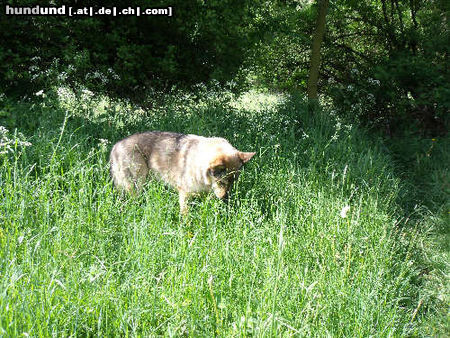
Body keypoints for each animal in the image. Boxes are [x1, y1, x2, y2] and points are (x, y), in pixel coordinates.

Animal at [109, 131, 255, 213]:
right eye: (222, 182)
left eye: (233, 183)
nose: (226, 200)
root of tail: (116, 146)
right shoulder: (184, 195)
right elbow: (186, 217)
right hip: (137, 184)